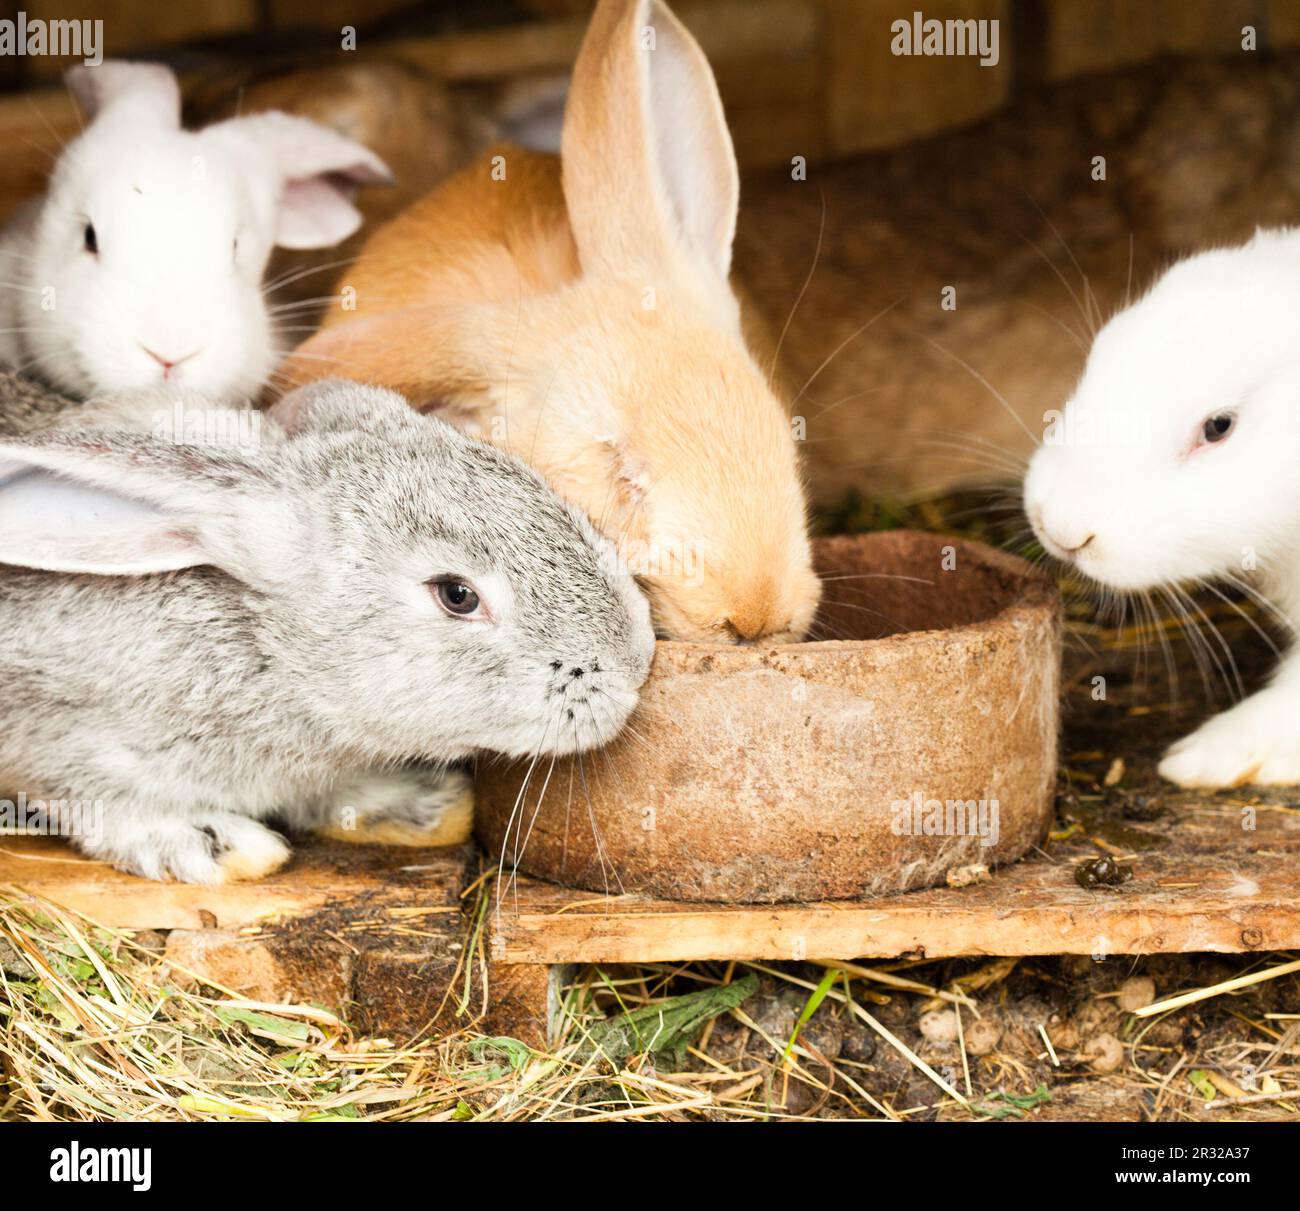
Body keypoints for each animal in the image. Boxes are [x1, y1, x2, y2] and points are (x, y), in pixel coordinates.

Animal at [0, 374, 650, 883]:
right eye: (457, 595)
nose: (634, 666)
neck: (271, 653)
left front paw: (423, 806)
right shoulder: (62, 743)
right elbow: (100, 804)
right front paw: (219, 845)